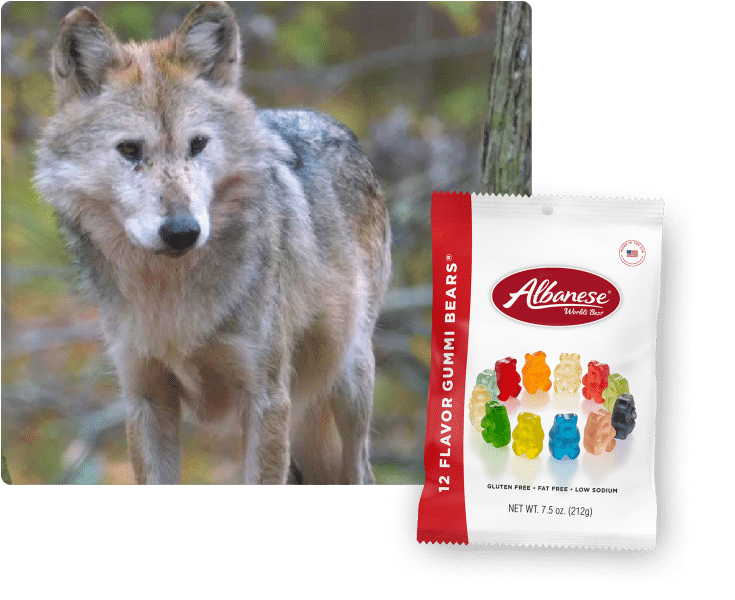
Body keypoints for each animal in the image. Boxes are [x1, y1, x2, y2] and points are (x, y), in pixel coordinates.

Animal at [34, 2, 391, 484]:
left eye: (198, 145)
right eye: (129, 150)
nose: (182, 231)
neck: (171, 294)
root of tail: (333, 122)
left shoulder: (266, 399)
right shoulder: (145, 397)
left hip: (349, 384)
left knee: (363, 470)